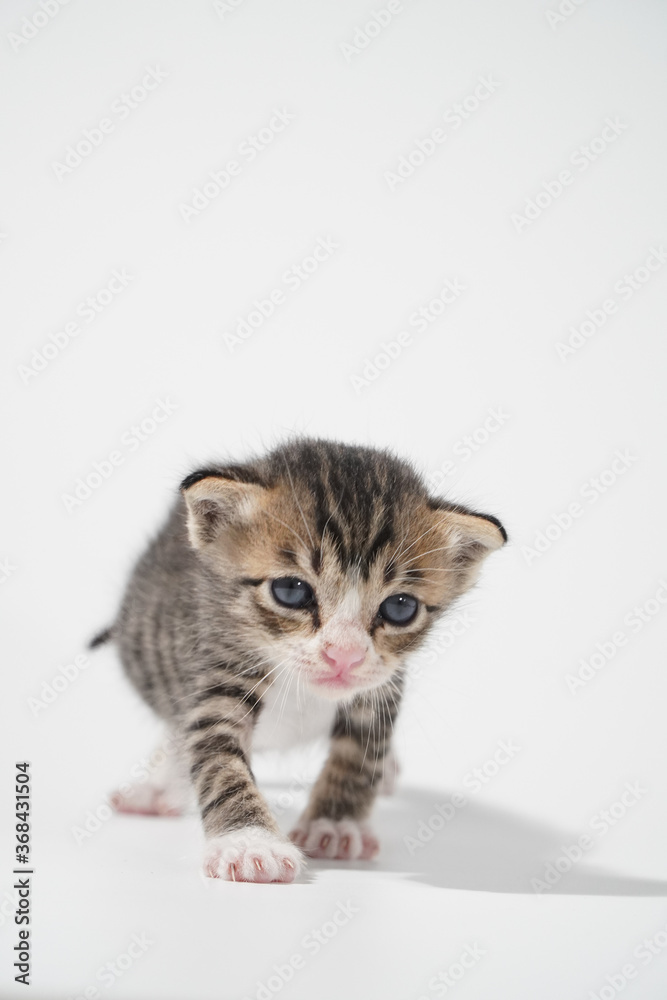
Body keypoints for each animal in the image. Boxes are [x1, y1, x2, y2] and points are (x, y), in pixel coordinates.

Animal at [91, 438, 504, 884]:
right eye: (291, 591)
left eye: (400, 607)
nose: (344, 653)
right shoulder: (220, 666)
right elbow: (218, 759)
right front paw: (249, 843)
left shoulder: (381, 687)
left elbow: (360, 755)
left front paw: (335, 825)